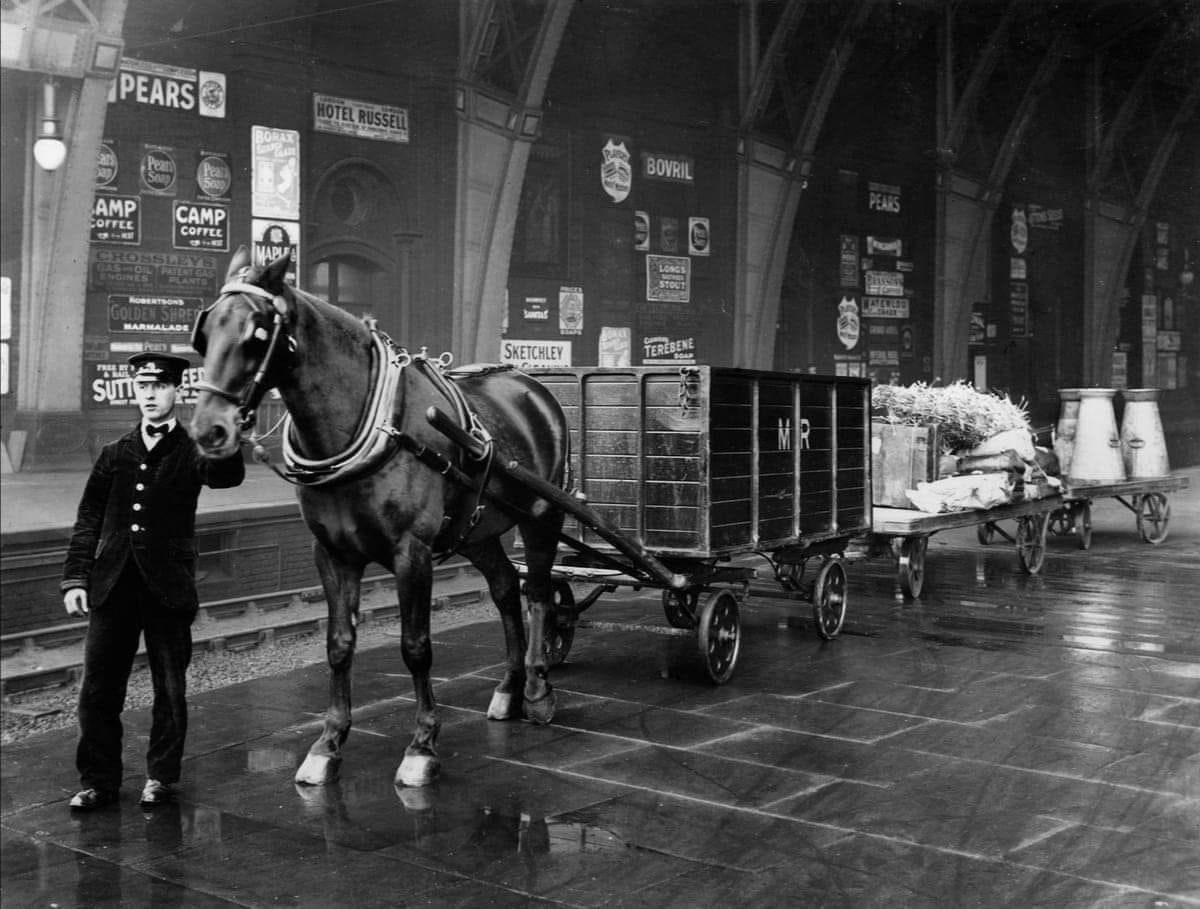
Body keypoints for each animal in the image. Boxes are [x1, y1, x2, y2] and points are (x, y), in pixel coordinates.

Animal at [188, 247, 569, 788]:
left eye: (258, 334)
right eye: (204, 334)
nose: (208, 430)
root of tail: (530, 385)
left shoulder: (412, 553)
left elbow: (416, 646)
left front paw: (422, 744)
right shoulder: (332, 553)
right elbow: (339, 644)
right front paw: (328, 745)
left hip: (542, 515)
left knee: (537, 591)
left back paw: (537, 690)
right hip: (476, 528)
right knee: (503, 590)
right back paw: (509, 687)